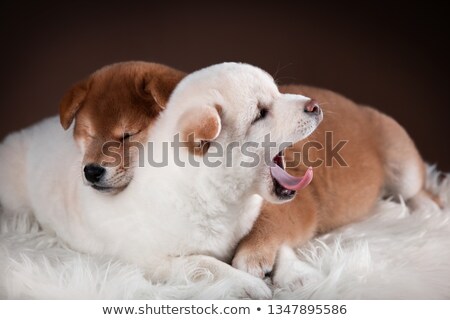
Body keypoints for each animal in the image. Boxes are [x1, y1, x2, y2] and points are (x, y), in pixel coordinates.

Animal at [234, 84, 438, 286]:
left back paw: (427, 208)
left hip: (405, 169)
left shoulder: (296, 206)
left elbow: (268, 223)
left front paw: (252, 255)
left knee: (423, 191)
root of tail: (359, 107)